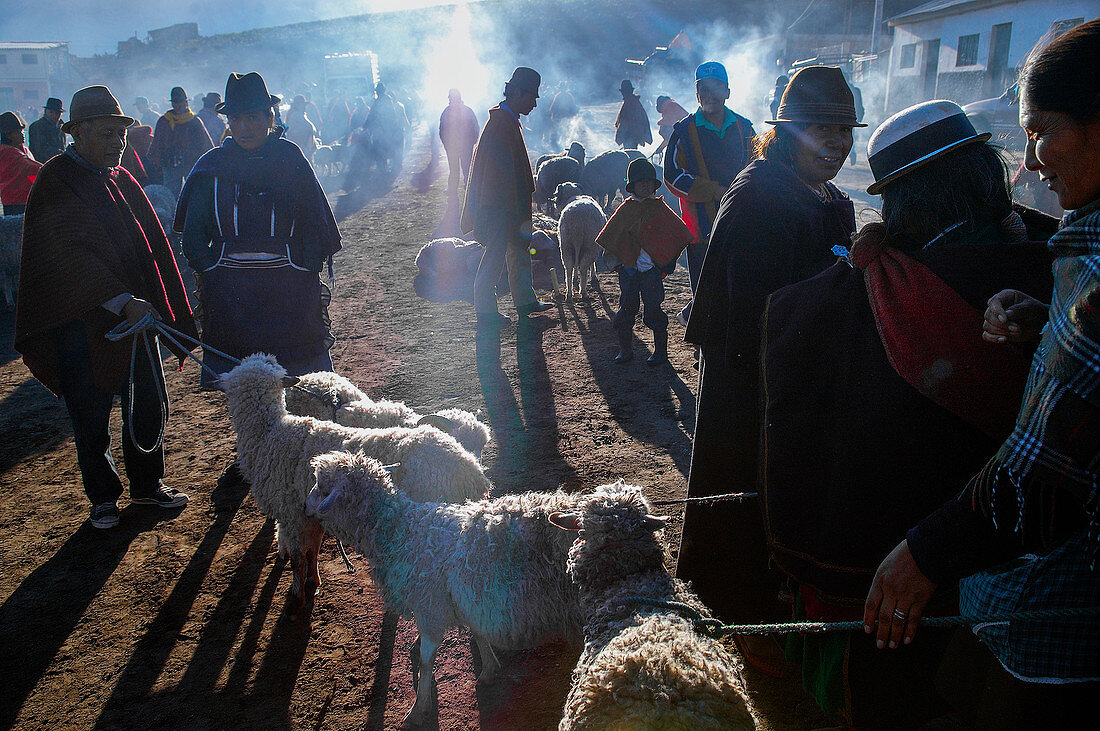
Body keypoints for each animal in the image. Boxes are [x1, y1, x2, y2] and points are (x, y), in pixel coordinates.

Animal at [305, 448, 589, 725]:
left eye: (322, 487)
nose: (305, 506)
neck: (401, 530)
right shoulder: (465, 598)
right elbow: (478, 632)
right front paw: (489, 669)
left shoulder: (429, 607)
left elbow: (425, 659)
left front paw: (419, 708)